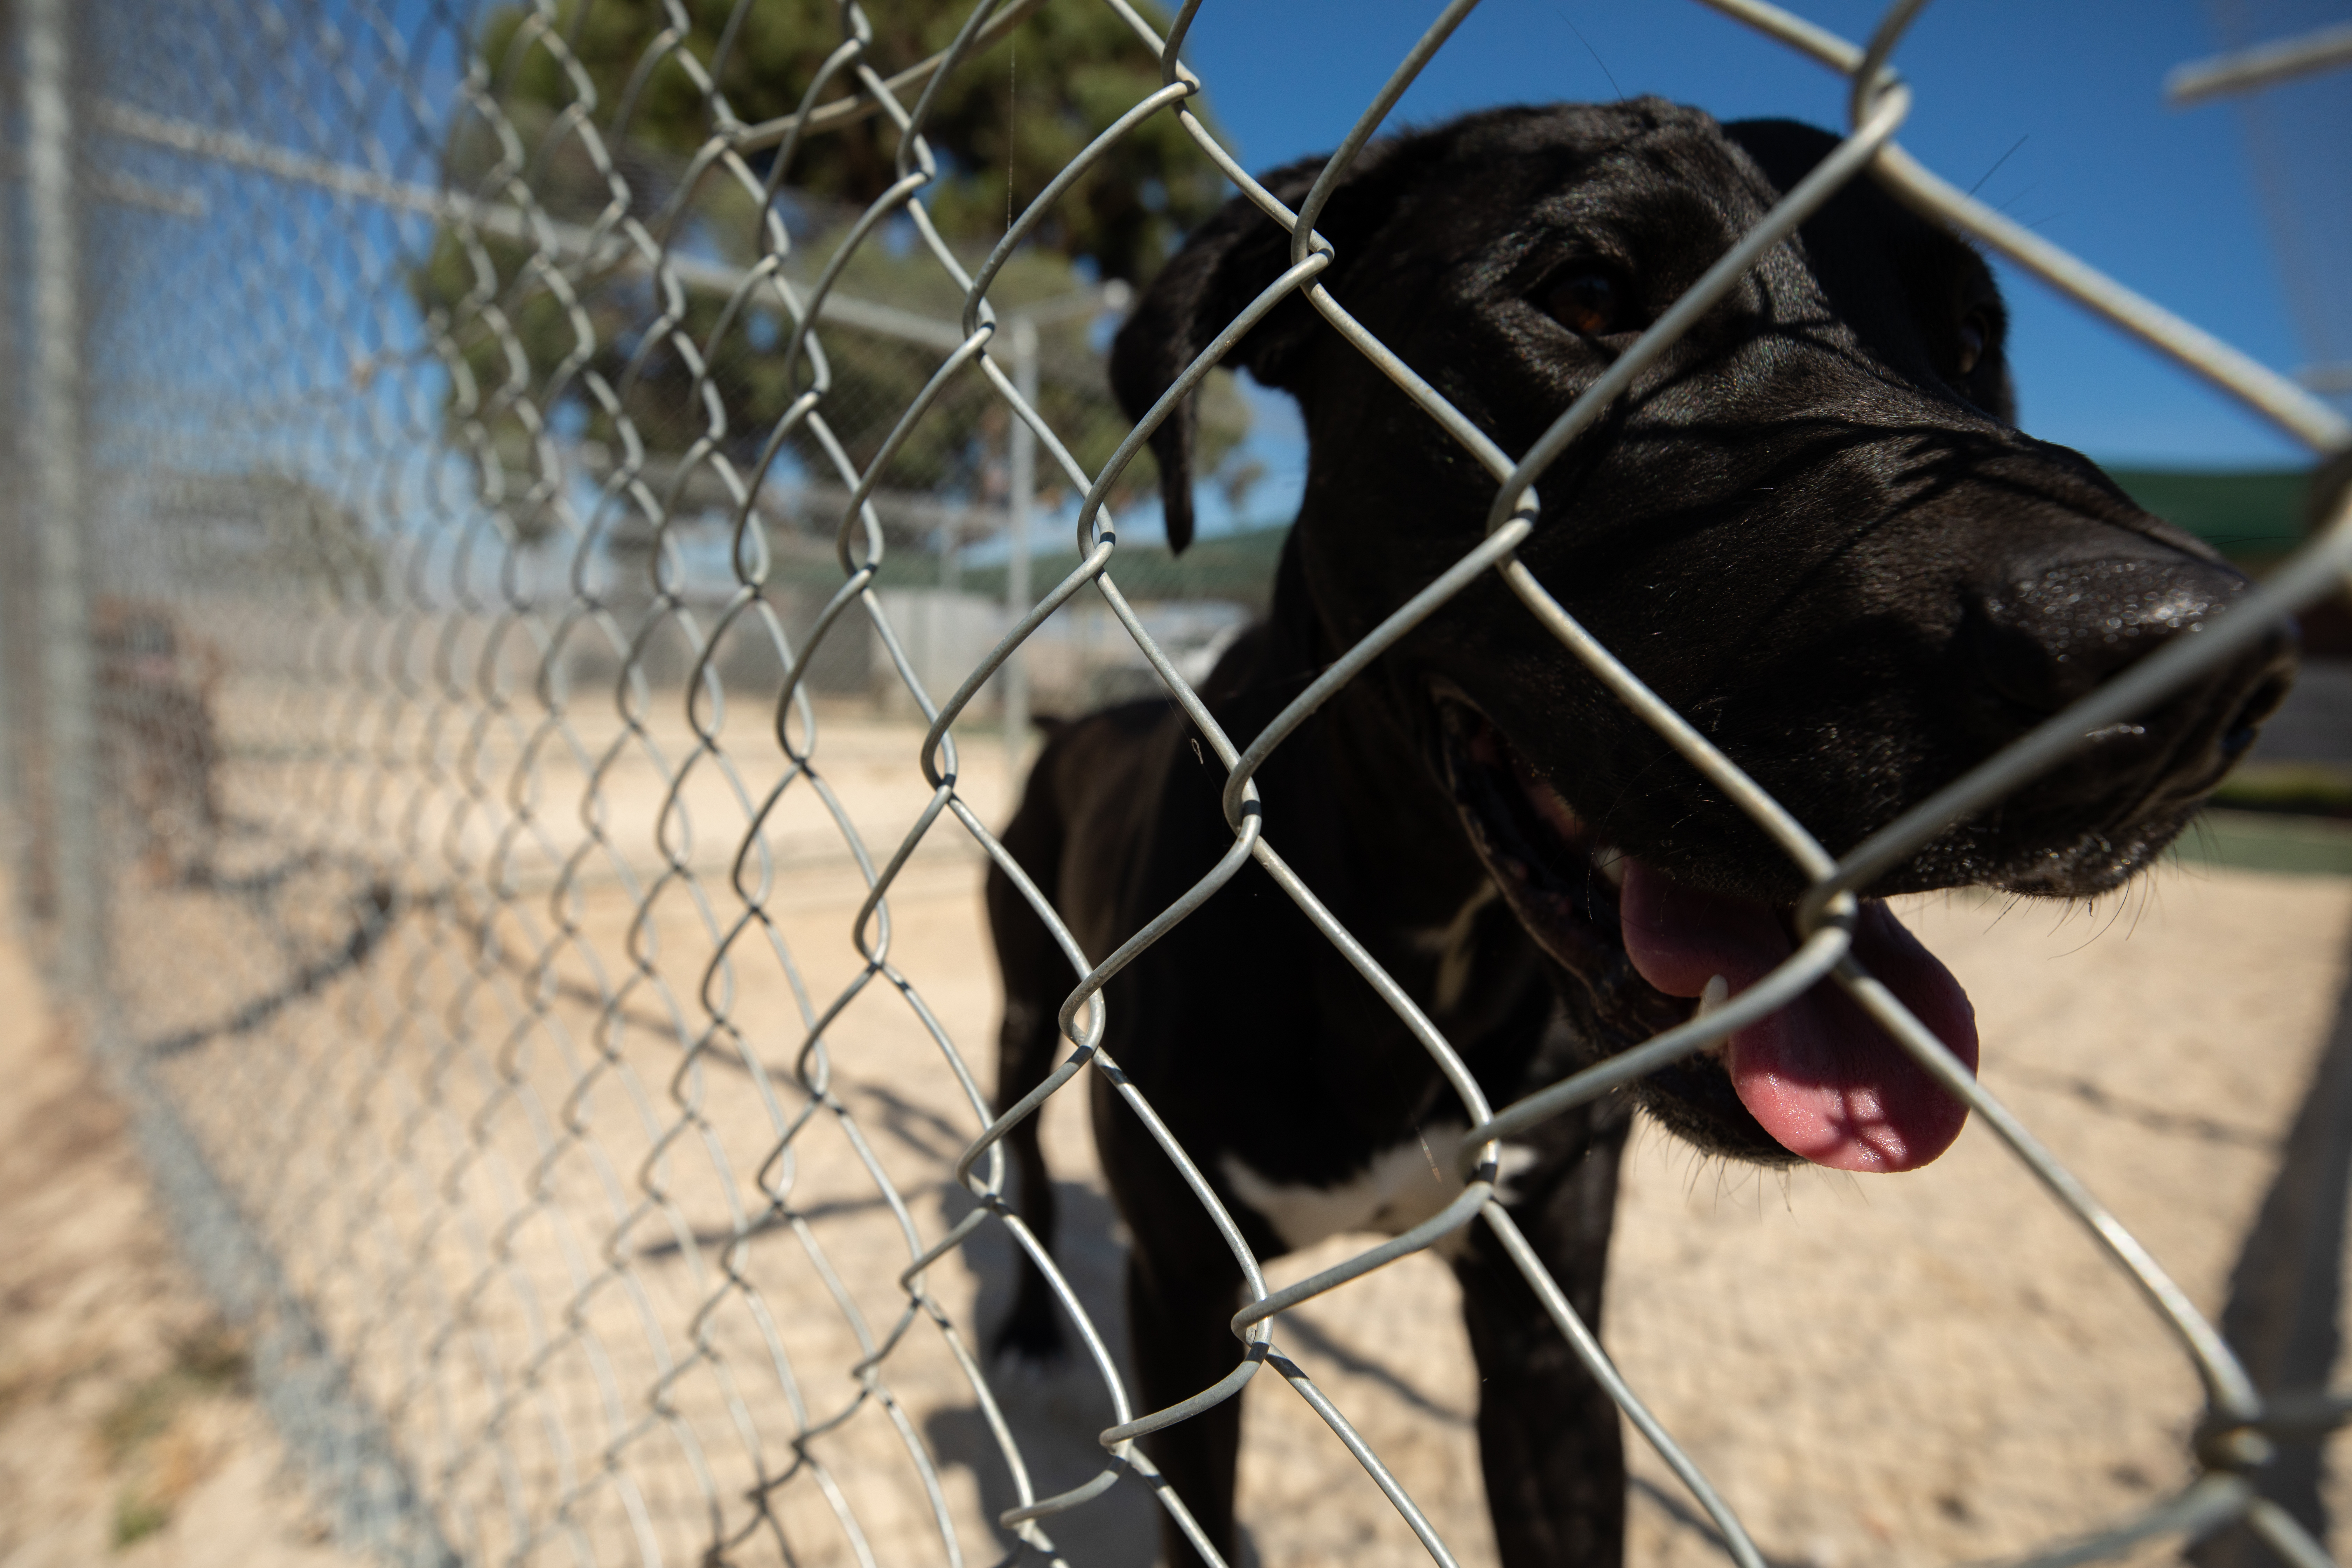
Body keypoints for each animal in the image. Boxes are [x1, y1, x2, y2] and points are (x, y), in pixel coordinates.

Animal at [978, 101, 2295, 1568]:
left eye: (1968, 342)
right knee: (1023, 1168)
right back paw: (1026, 1324)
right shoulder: (1182, 1296)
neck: (1410, 950)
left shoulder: (1546, 1324)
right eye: (1590, 298)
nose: (2196, 681)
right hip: (1028, 1005)